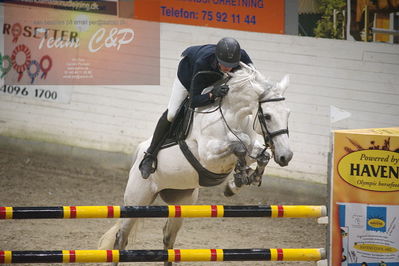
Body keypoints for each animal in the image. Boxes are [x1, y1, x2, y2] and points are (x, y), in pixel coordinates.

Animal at [99, 63, 294, 264]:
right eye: (268, 116)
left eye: (288, 114)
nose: (286, 156)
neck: (232, 116)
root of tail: (139, 153)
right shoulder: (208, 156)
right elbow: (240, 145)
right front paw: (239, 177)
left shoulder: (249, 150)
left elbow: (259, 154)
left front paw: (240, 181)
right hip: (137, 200)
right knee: (121, 239)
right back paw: (147, 164)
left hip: (181, 203)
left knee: (168, 239)